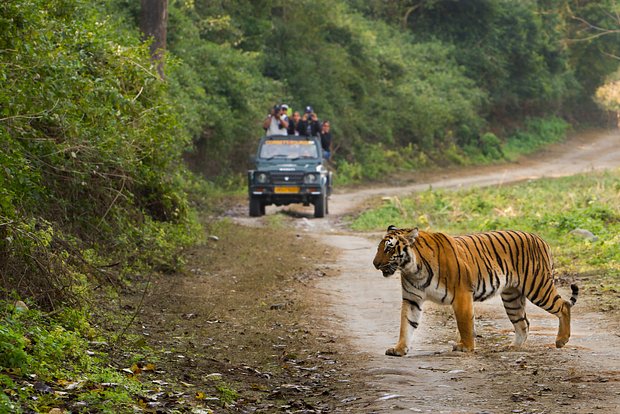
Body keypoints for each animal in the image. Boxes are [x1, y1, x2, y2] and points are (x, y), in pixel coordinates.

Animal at [372, 225, 580, 358]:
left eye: (389, 248)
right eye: (379, 248)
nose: (375, 264)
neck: (412, 269)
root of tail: (541, 239)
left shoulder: (462, 294)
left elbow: (464, 323)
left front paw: (465, 347)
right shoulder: (412, 299)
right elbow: (406, 324)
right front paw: (399, 349)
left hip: (538, 287)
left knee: (563, 306)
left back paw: (561, 340)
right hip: (512, 297)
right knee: (523, 323)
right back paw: (512, 347)